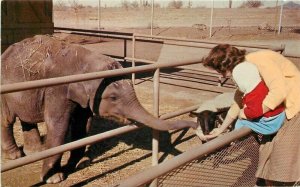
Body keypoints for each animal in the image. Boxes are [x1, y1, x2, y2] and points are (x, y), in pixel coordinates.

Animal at [1, 34, 199, 183]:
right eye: (113, 98)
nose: (196, 122)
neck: (85, 61)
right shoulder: (57, 90)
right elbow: (58, 126)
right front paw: (53, 178)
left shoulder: (83, 100)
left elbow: (83, 127)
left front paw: (77, 165)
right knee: (7, 120)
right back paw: (16, 156)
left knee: (26, 117)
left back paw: (35, 152)